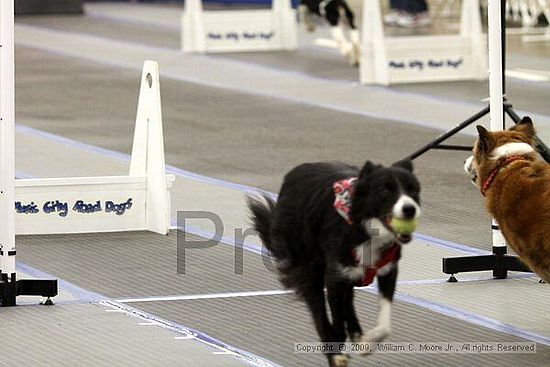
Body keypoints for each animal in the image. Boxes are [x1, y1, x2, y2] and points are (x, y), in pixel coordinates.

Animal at [250, 161, 422, 367]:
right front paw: (336, 352)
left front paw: (368, 341)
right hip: (309, 264)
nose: (410, 209)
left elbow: (384, 324)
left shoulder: (387, 269)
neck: (365, 227)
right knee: (318, 308)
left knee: (347, 299)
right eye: (385, 191)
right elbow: (335, 319)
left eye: (413, 190)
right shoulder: (335, 275)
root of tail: (292, 174)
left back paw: (356, 333)